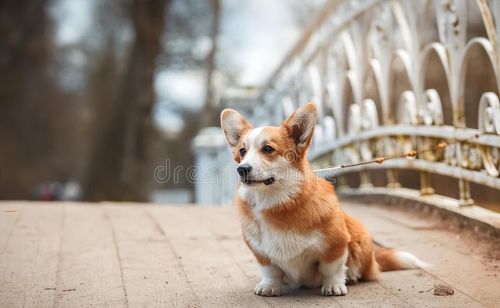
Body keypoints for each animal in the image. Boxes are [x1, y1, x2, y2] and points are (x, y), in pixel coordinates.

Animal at [220, 103, 426, 296]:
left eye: (268, 149)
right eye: (243, 151)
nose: (242, 169)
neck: (274, 202)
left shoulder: (336, 245)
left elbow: (331, 269)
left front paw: (334, 285)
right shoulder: (260, 253)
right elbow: (271, 271)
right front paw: (269, 286)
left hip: (359, 234)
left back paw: (351, 276)